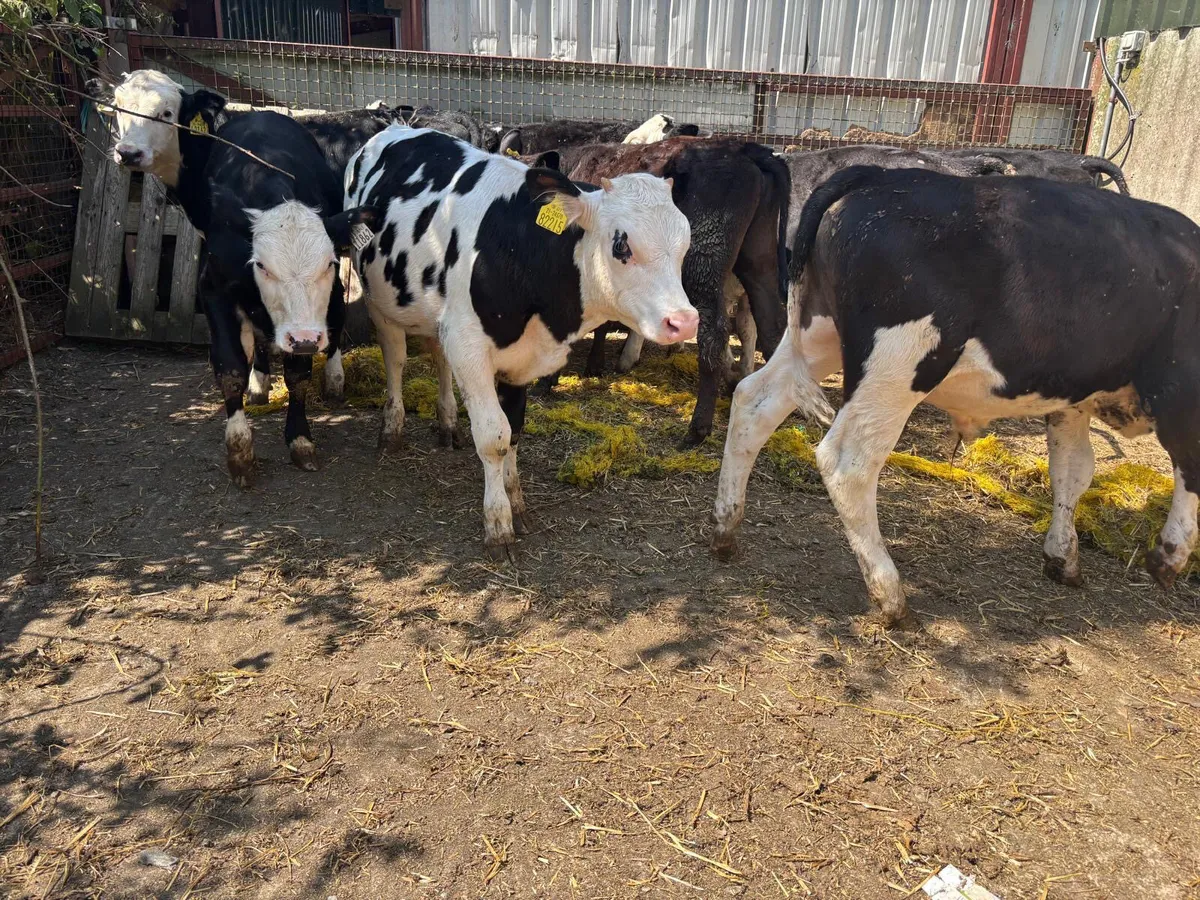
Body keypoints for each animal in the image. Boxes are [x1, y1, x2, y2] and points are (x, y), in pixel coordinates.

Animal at [345, 126, 697, 558]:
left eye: (685, 244)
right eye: (621, 245)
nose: (684, 321)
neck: (522, 250)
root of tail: (396, 128)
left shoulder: (518, 356)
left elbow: (513, 428)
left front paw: (516, 502)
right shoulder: (469, 346)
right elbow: (493, 437)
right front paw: (498, 524)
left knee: (438, 357)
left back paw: (447, 423)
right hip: (381, 302)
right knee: (395, 360)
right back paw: (391, 430)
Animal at [563, 137, 792, 445]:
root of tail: (742, 147)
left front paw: (595, 365)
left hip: (703, 261)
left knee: (715, 331)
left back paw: (698, 427)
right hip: (759, 259)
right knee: (771, 325)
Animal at [710, 166, 1200, 627]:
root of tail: (877, 175)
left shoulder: (1072, 397)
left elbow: (1072, 470)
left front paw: (1063, 556)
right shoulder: (1183, 389)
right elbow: (1189, 472)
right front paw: (1170, 555)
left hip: (818, 336)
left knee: (753, 402)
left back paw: (725, 530)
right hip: (897, 366)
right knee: (847, 462)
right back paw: (890, 595)